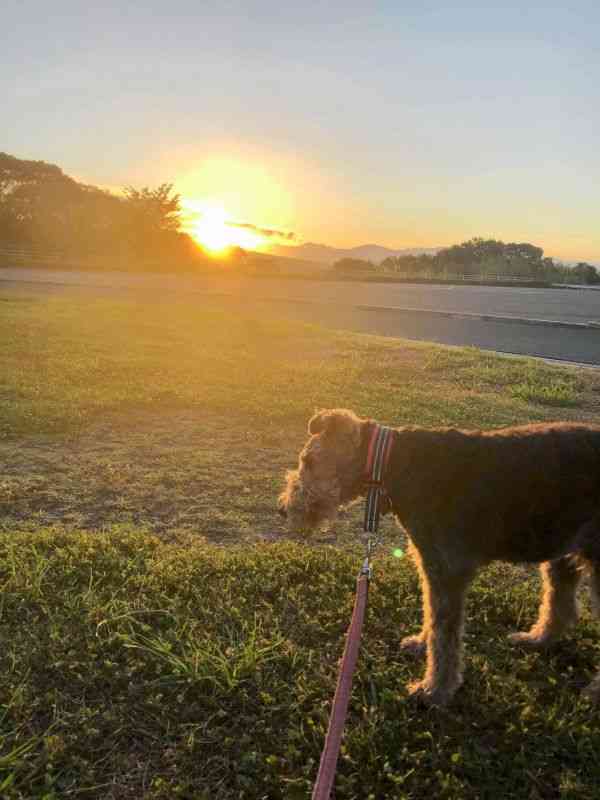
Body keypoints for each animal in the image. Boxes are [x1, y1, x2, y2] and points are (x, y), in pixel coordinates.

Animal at [278, 412, 600, 708]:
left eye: (308, 460)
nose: (283, 508)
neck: (395, 463)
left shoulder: (447, 570)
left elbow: (444, 637)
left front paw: (434, 690)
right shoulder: (430, 565)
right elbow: (432, 618)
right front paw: (420, 645)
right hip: (563, 550)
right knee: (561, 606)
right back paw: (536, 639)